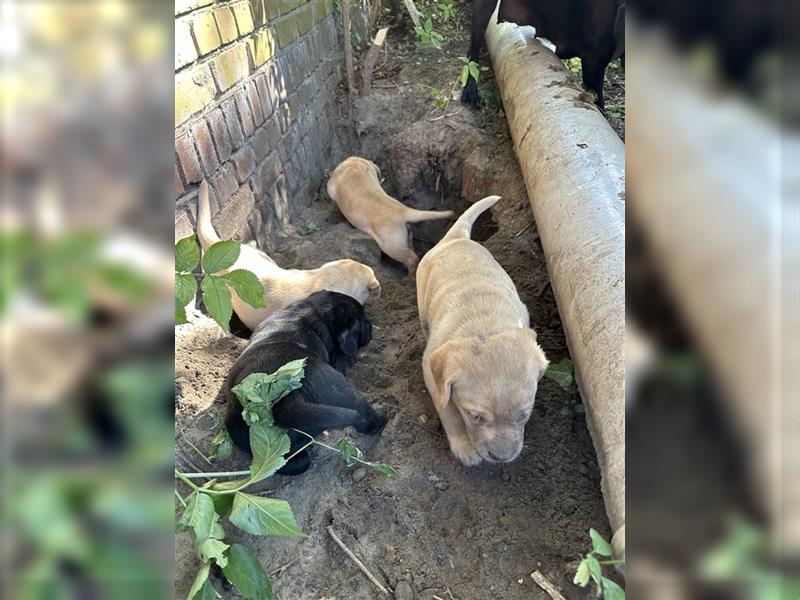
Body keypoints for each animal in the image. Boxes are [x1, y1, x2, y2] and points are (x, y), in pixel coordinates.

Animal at [223, 290, 390, 474]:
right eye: (365, 322)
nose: (371, 326)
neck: (314, 308)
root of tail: (283, 400)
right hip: (336, 387)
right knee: (362, 410)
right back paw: (381, 418)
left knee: (295, 463)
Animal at [324, 155, 454, 276]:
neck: (354, 168)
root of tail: (404, 211)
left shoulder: (332, 186)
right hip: (405, 238)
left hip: (392, 245)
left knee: (411, 259)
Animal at [416, 195, 548, 466]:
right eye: (474, 416)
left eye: (524, 415)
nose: (502, 457)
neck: (484, 327)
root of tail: (456, 238)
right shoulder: (432, 372)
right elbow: (448, 409)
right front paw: (465, 447)